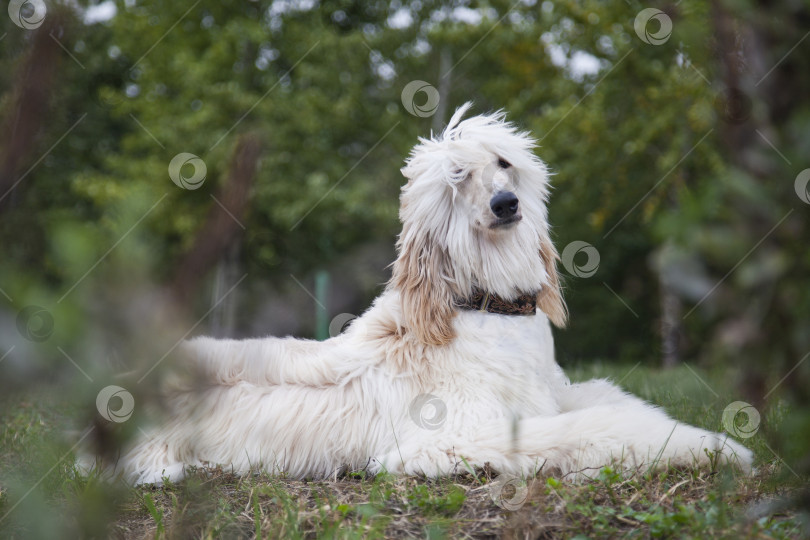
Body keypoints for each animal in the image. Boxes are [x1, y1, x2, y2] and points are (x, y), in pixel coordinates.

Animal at [99, 103, 752, 484]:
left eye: (503, 163)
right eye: (458, 177)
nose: (506, 205)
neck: (482, 307)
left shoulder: (551, 393)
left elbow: (615, 401)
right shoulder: (456, 437)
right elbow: (595, 428)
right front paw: (714, 448)